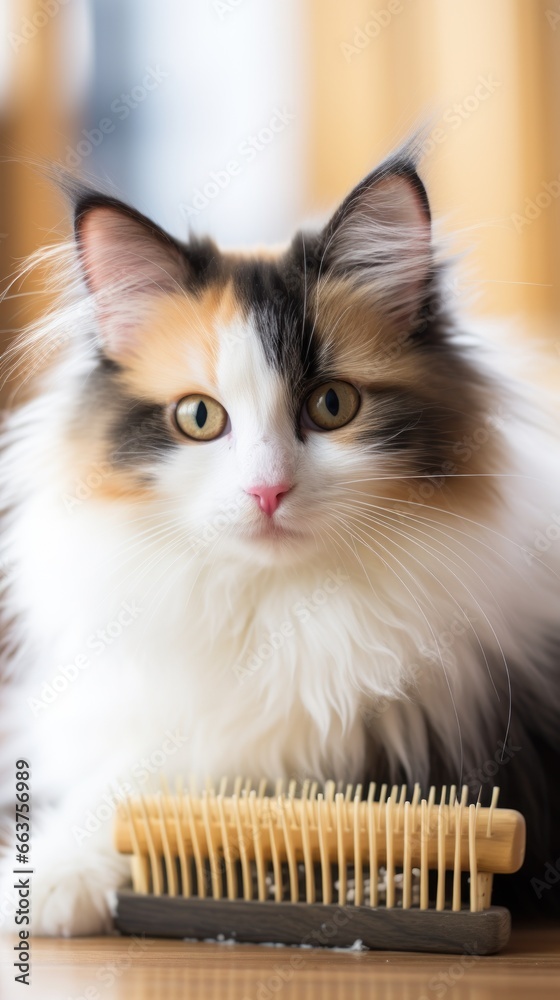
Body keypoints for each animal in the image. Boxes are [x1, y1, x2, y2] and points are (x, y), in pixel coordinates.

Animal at [1, 143, 560, 936]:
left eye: (332, 405)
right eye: (199, 417)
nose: (267, 491)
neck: (276, 608)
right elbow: (136, 788)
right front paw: (50, 875)